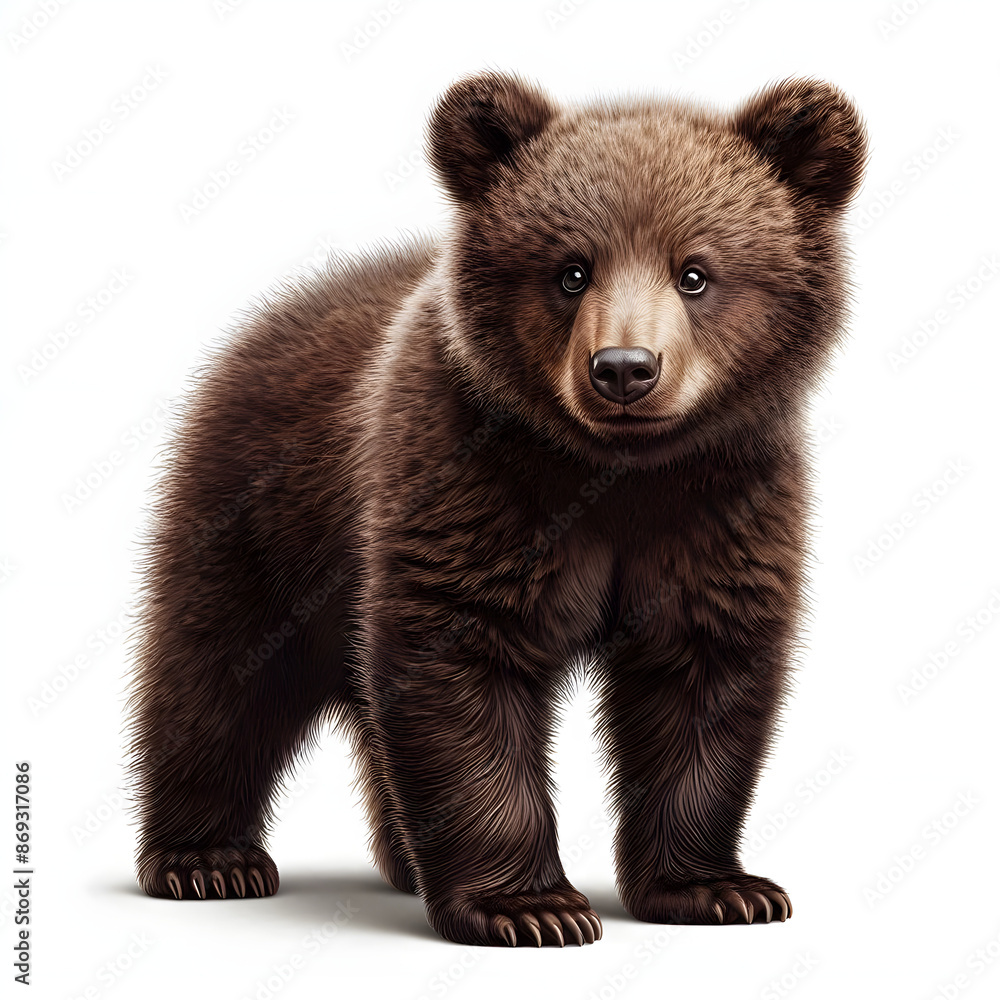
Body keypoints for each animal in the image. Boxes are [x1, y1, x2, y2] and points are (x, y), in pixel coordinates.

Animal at [127, 71, 867, 947]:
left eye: (695, 272)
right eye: (570, 271)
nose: (624, 368)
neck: (618, 474)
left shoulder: (722, 505)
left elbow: (701, 673)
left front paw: (720, 888)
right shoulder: (472, 486)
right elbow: (466, 664)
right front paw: (532, 906)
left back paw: (398, 860)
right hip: (263, 512)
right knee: (219, 671)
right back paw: (206, 860)